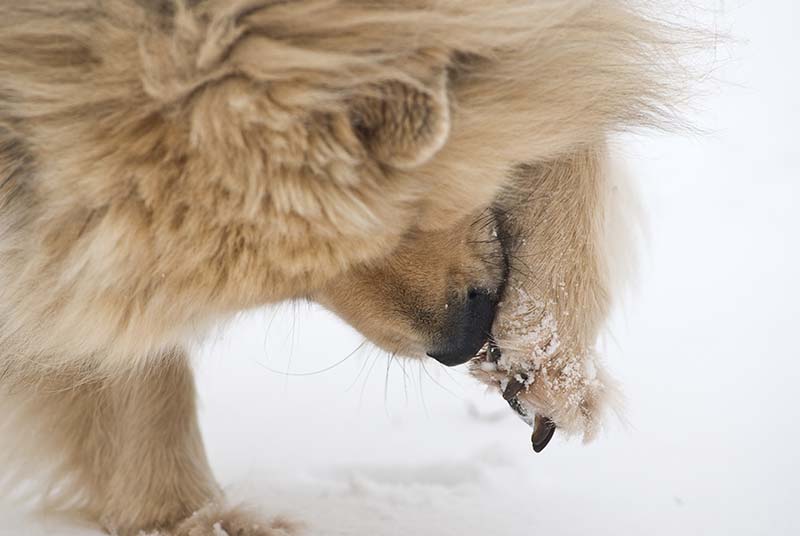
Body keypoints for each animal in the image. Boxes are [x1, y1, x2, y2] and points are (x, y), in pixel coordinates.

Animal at [0, 2, 688, 532]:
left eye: (411, 212)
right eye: (294, 284)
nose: (459, 343)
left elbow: (568, 100)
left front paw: (548, 351)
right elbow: (130, 363)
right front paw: (187, 518)